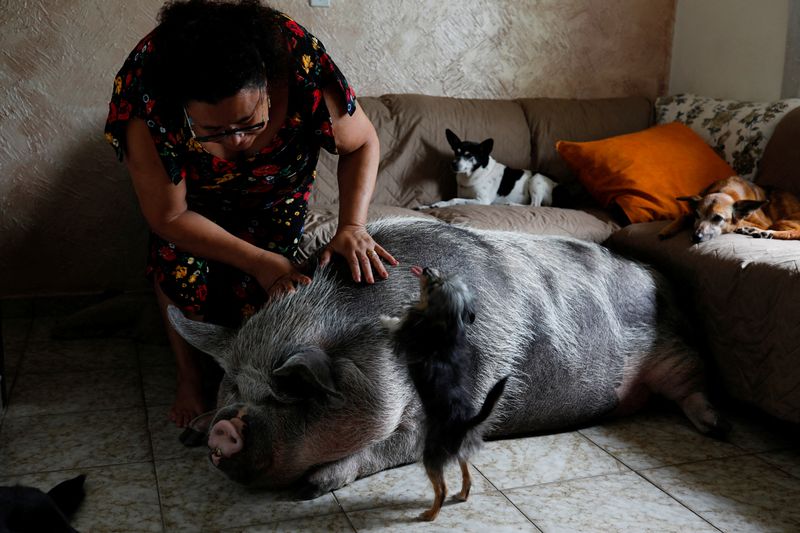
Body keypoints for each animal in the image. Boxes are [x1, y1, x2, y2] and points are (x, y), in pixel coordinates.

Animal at [169, 215, 724, 494]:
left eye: (291, 390)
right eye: (232, 385)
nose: (225, 428)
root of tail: (661, 278)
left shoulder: (465, 402)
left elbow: (396, 446)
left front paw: (313, 484)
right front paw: (190, 431)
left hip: (675, 352)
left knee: (693, 382)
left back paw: (715, 428)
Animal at [382, 266, 506, 520]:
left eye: (433, 286)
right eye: (441, 276)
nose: (427, 268)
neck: (449, 326)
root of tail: (465, 423)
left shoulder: (405, 332)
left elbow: (396, 324)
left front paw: (383, 319)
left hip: (430, 454)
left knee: (441, 488)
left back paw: (430, 514)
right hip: (459, 451)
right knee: (466, 472)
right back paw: (462, 494)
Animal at [424, 130, 556, 209]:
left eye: (468, 155)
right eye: (456, 152)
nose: (453, 164)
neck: (473, 174)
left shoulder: (482, 200)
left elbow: (455, 199)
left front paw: (442, 203)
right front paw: (435, 204)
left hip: (536, 179)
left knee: (534, 205)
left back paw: (512, 204)